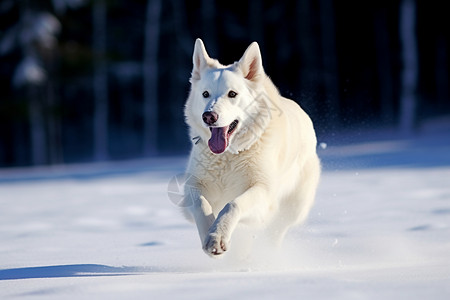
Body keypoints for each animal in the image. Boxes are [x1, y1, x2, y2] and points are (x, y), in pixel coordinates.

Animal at [181, 38, 322, 258]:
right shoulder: (193, 186)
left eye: (232, 94)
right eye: (205, 94)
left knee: (276, 231)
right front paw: (209, 235)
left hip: (293, 208)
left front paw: (217, 237)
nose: (209, 116)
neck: (228, 156)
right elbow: (201, 204)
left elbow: (233, 204)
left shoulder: (262, 192)